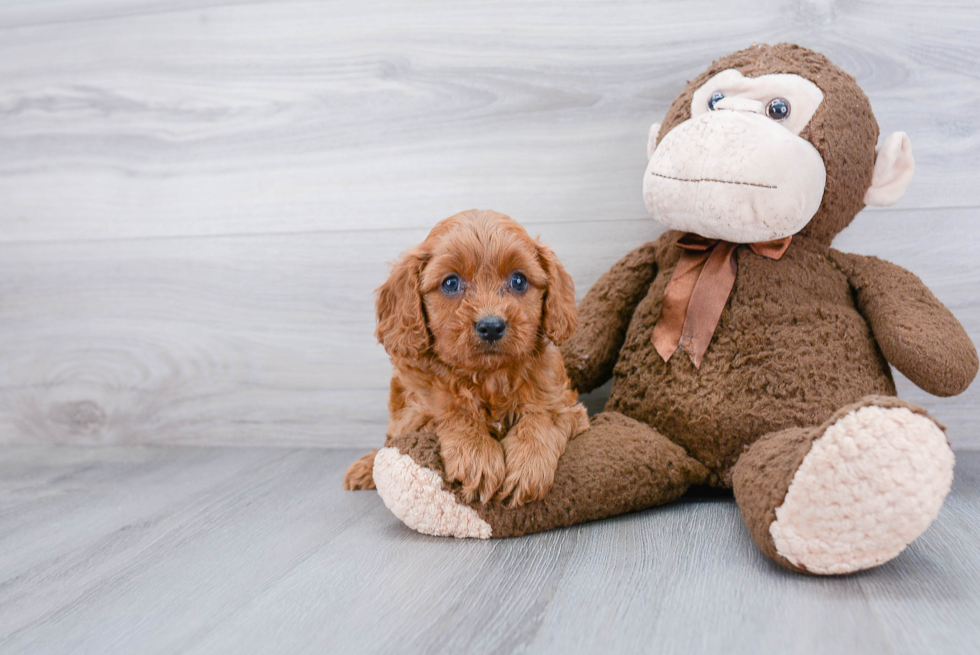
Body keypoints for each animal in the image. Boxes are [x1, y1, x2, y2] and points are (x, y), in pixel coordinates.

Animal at [344, 210, 588, 508]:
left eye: (519, 281)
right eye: (451, 283)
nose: (491, 326)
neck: (488, 376)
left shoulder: (566, 406)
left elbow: (542, 417)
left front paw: (529, 465)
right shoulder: (413, 415)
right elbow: (454, 413)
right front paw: (478, 457)